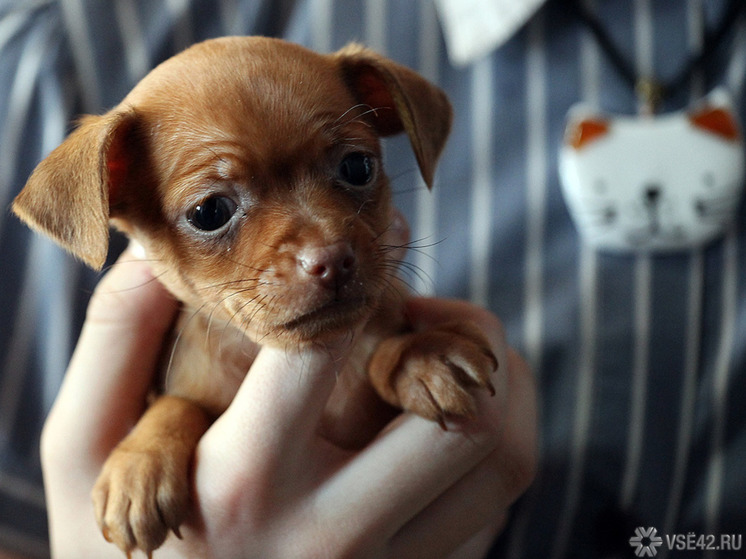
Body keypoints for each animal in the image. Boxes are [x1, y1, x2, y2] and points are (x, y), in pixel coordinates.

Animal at [11, 37, 496, 556]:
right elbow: (177, 403)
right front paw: (139, 462)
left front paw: (421, 354)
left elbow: (387, 338)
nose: (332, 259)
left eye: (357, 167)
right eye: (209, 212)